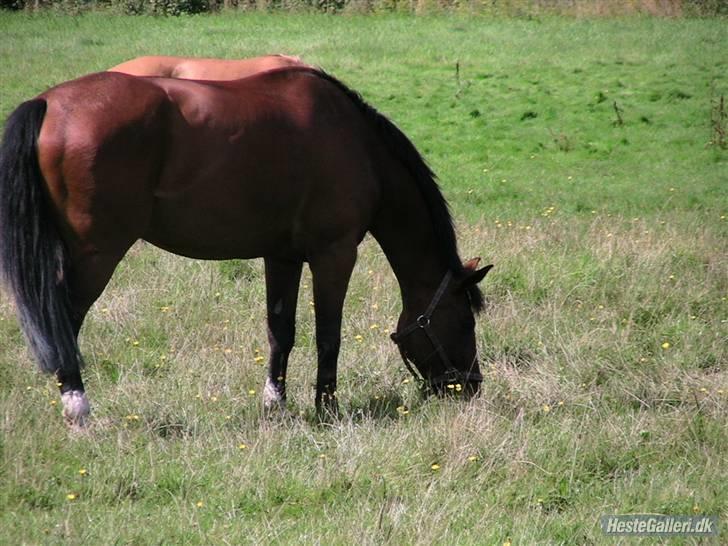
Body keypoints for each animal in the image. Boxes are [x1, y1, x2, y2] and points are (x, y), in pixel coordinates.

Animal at [0, 67, 492, 424]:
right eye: (465, 321)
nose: (470, 387)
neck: (356, 143)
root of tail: (48, 103)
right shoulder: (334, 255)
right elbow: (328, 336)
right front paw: (327, 409)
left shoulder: (283, 256)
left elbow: (281, 331)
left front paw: (275, 405)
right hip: (95, 255)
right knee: (64, 322)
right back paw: (78, 410)